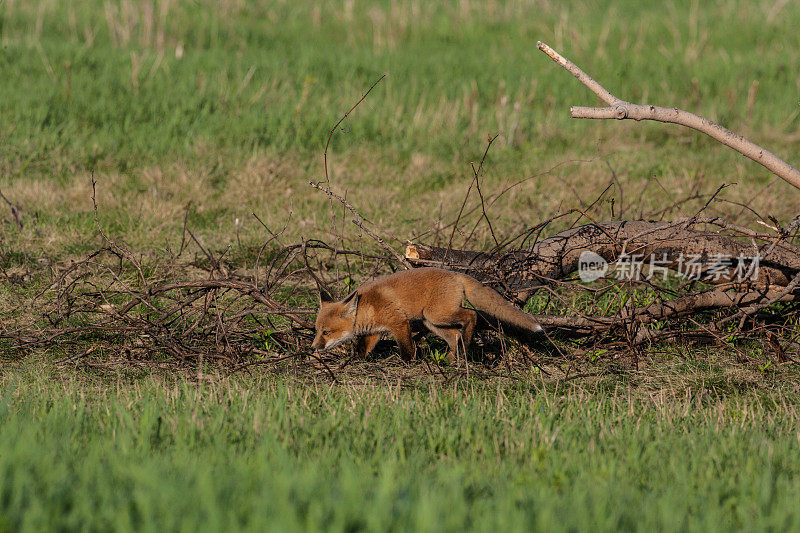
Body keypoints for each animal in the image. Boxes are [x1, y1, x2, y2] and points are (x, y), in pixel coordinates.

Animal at [312, 266, 544, 362]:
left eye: (326, 332)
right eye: (317, 330)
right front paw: (357, 361)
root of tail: (455, 273)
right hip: (432, 323)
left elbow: (407, 348)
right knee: (455, 336)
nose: (313, 347)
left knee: (472, 316)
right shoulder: (375, 332)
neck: (368, 306)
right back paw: (451, 359)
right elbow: (363, 350)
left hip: (435, 315)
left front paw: (408, 363)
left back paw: (465, 348)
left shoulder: (399, 323)